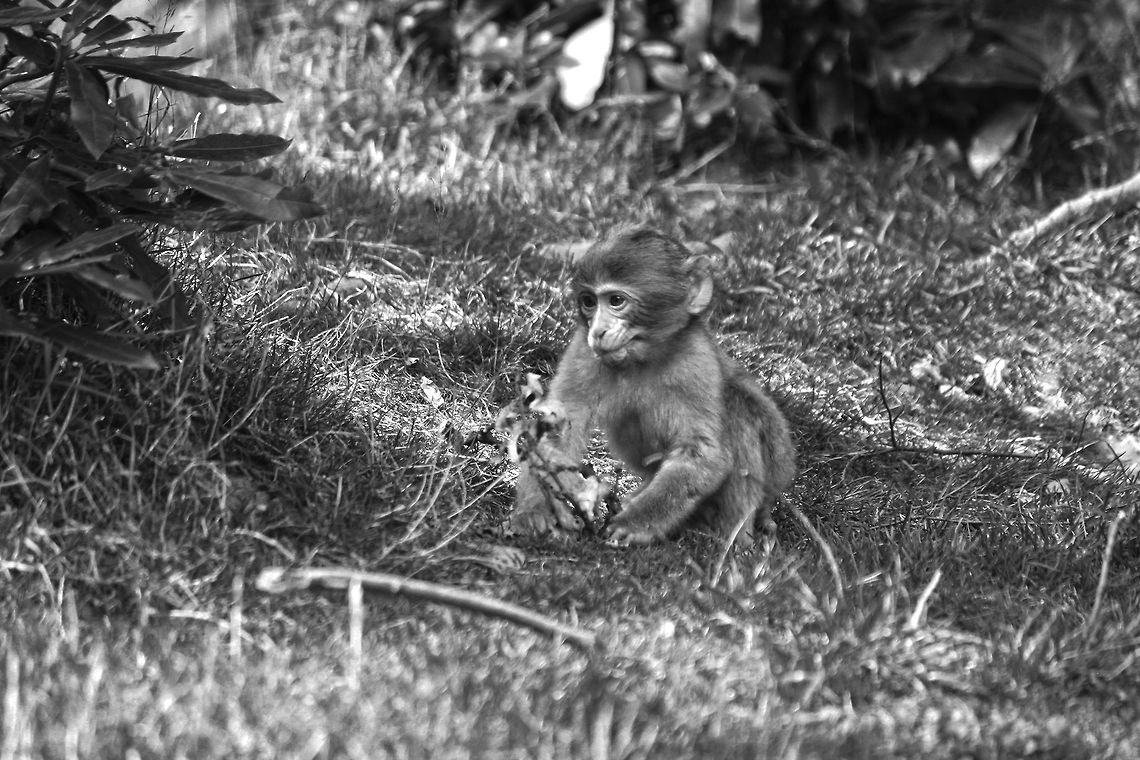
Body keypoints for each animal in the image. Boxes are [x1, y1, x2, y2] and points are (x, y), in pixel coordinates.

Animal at [511, 227, 796, 547]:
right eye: (588, 302)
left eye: (616, 300)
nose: (598, 331)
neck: (642, 359)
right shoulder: (583, 352)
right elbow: (557, 430)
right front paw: (534, 512)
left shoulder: (695, 360)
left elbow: (702, 453)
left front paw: (634, 523)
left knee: (739, 406)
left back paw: (731, 540)